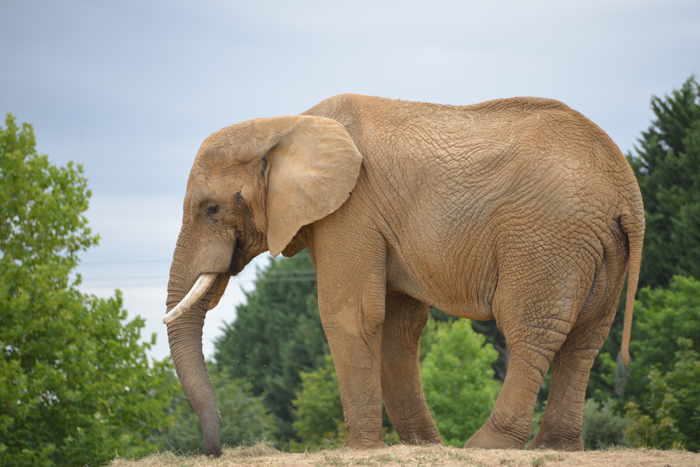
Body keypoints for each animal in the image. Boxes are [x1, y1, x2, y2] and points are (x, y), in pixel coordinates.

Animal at [161, 94, 644, 458]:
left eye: (211, 209)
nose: (214, 451)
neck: (286, 125)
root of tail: (626, 190)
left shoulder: (351, 211)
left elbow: (350, 314)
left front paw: (360, 450)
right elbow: (398, 324)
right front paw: (423, 445)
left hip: (546, 237)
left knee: (531, 329)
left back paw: (486, 446)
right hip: (599, 246)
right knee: (586, 338)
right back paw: (556, 448)